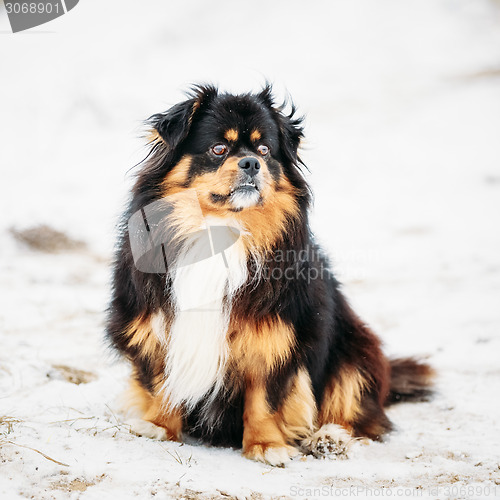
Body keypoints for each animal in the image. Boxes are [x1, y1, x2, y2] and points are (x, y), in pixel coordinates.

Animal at [106, 85, 434, 464]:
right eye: (218, 149)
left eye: (264, 150)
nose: (252, 163)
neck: (221, 227)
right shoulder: (154, 325)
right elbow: (161, 382)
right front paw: (158, 426)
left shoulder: (276, 336)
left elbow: (265, 396)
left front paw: (267, 445)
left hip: (355, 351)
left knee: (359, 414)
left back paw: (329, 439)